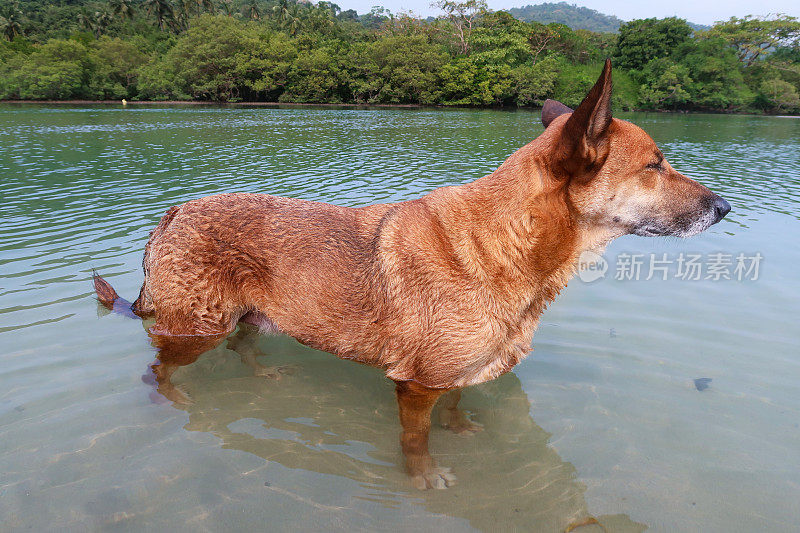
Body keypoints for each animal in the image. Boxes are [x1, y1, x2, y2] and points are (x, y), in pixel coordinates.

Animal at [90, 60, 728, 488]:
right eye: (654, 166)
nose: (724, 208)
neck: (508, 243)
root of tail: (173, 213)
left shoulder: (455, 373)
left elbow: (457, 404)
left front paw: (461, 429)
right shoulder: (415, 385)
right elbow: (417, 440)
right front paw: (424, 478)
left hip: (250, 314)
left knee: (244, 342)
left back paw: (262, 373)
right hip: (193, 329)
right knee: (159, 369)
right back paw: (175, 396)